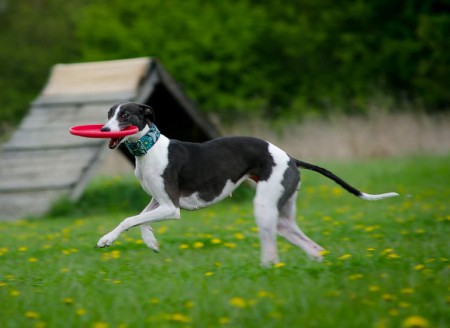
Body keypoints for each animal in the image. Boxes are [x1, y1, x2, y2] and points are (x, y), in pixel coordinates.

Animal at [96, 102, 400, 266]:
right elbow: (140, 219)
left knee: (272, 253)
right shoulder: (159, 201)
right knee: (313, 248)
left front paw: (107, 239)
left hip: (264, 208)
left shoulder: (171, 207)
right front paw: (149, 241)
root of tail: (290, 157)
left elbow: (129, 219)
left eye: (125, 115)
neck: (150, 149)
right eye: (109, 113)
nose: (104, 130)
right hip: (281, 215)